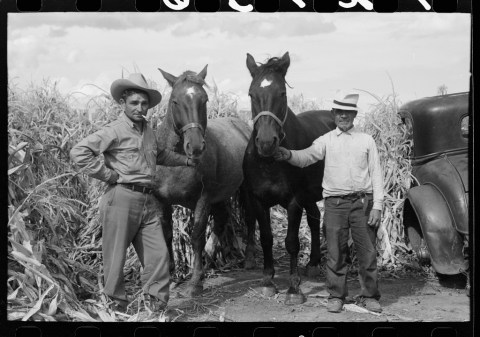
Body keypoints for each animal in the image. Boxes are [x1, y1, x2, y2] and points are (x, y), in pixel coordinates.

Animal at [154, 65, 251, 296]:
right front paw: (171, 276)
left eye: (204, 100)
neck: (175, 161)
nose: (196, 146)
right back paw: (209, 256)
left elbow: (196, 235)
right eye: (175, 101)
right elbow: (167, 234)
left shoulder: (203, 199)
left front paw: (196, 281)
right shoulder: (162, 201)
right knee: (222, 220)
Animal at [242, 52, 336, 304]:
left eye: (282, 93)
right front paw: (267, 282)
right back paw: (313, 263)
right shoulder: (258, 201)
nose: (266, 142)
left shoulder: (294, 201)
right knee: (314, 219)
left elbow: (292, 242)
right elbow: (266, 238)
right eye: (252, 94)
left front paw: (294, 288)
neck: (270, 163)